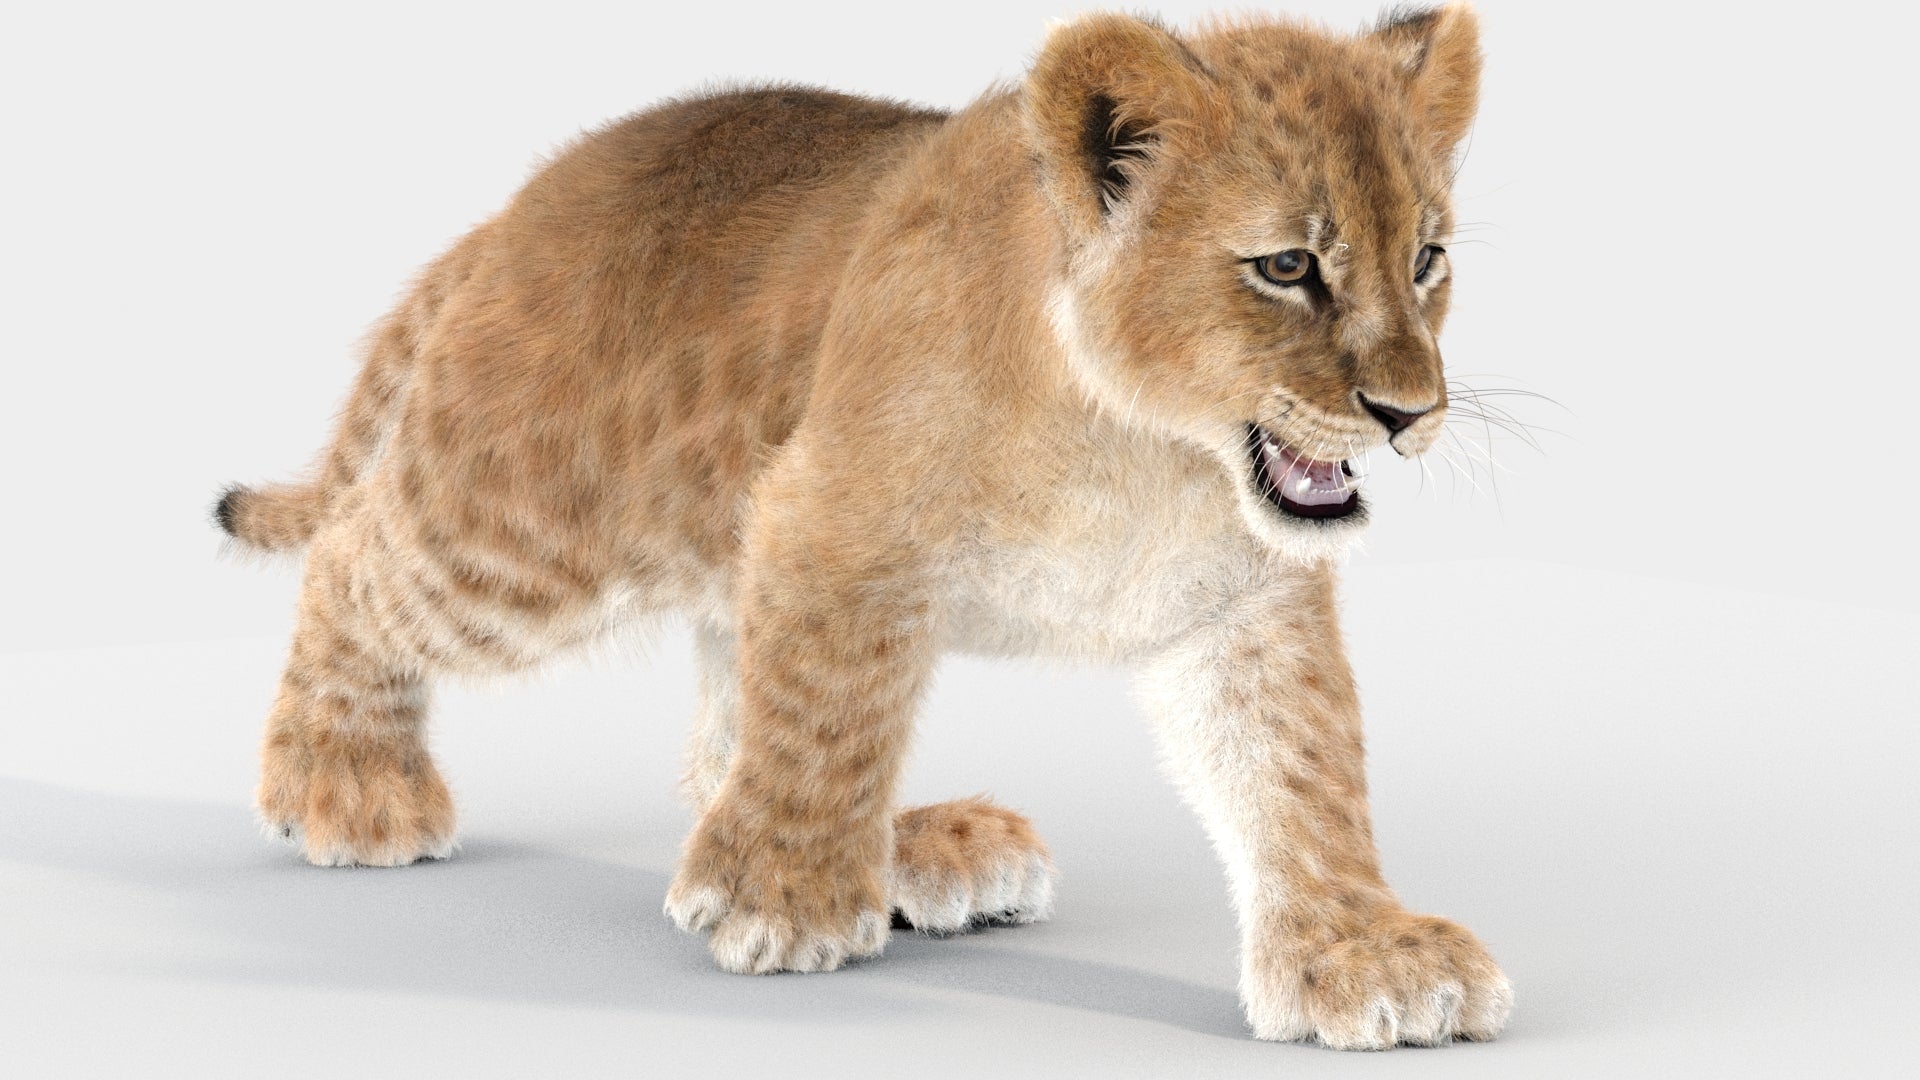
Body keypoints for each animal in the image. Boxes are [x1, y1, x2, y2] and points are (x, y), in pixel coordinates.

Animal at [213, 3, 1511, 1049]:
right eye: (1287, 266)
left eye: (1426, 259)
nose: (1409, 412)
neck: (1148, 452)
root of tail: (521, 207)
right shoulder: (826, 517)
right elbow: (829, 714)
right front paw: (782, 897)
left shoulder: (1245, 606)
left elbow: (1304, 772)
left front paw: (1361, 957)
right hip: (532, 523)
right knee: (355, 556)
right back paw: (345, 784)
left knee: (722, 730)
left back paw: (916, 848)